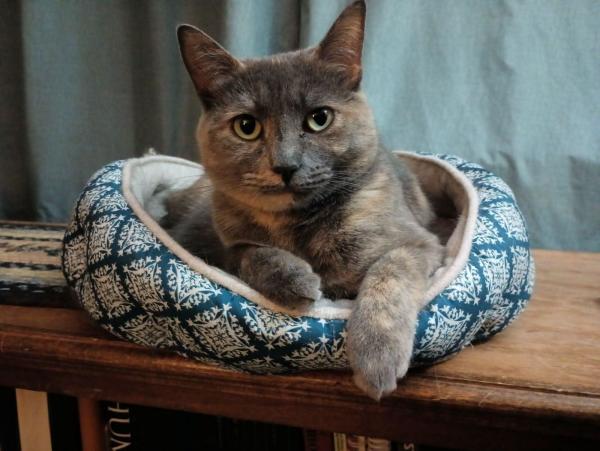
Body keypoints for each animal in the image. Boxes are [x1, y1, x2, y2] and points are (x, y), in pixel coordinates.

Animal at [164, 0, 446, 400]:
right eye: (246, 126)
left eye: (319, 118)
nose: (286, 165)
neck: (297, 226)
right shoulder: (225, 245)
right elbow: (250, 253)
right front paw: (294, 279)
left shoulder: (418, 243)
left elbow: (389, 272)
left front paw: (376, 357)